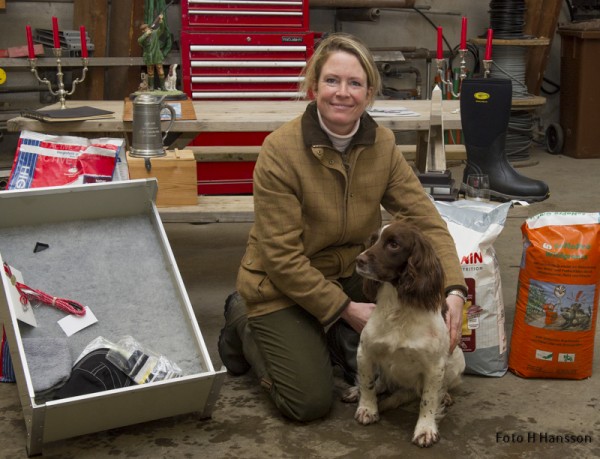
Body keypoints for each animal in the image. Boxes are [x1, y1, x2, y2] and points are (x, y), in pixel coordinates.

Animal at [344, 221, 466, 448]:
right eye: (373, 240)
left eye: (394, 244)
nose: (359, 260)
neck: (398, 309)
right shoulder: (365, 351)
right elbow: (367, 383)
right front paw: (367, 409)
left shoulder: (434, 366)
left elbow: (428, 399)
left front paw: (425, 429)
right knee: (380, 382)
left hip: (457, 361)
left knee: (442, 387)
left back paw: (444, 396)